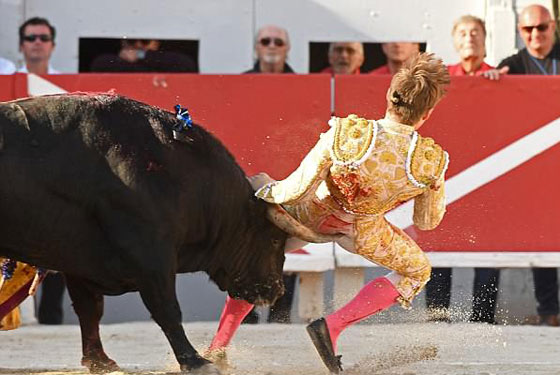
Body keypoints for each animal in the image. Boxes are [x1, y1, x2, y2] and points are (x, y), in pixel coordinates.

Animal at [0, 93, 288, 374]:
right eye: (275, 240)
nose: (277, 290)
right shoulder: (151, 256)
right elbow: (167, 309)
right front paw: (196, 362)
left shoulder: (78, 259)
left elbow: (89, 309)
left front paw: (100, 361)